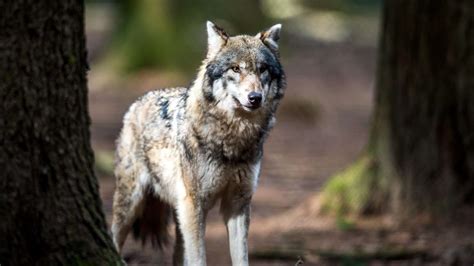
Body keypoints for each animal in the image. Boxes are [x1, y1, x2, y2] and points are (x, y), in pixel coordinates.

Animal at [112, 21, 286, 266]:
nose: (255, 97)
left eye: (262, 69)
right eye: (235, 69)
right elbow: (198, 258)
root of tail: (137, 102)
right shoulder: (195, 205)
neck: (233, 140)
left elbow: (241, 258)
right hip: (131, 203)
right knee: (113, 237)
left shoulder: (238, 204)